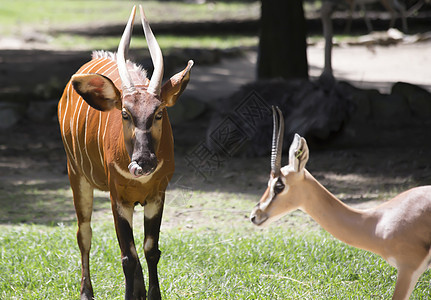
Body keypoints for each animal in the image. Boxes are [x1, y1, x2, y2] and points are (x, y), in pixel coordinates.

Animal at [58, 5, 193, 300]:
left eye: (159, 112)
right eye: (124, 113)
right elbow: (127, 256)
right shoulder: (117, 197)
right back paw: (86, 292)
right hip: (77, 175)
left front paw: (151, 295)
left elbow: (150, 250)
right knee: (84, 233)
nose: (143, 162)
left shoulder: (156, 195)